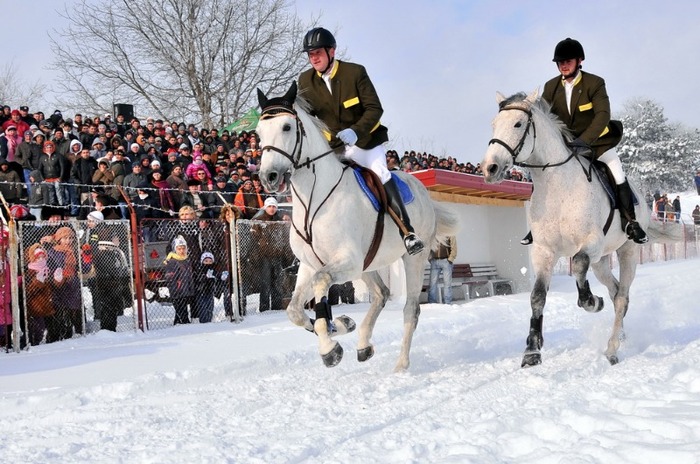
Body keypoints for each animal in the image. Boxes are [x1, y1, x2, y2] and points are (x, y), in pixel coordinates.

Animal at [256, 83, 460, 372]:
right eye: (258, 132)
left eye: (286, 127)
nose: (269, 177)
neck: (313, 199)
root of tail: (423, 191)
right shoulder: (309, 265)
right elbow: (294, 311)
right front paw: (340, 326)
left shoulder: (345, 262)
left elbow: (320, 285)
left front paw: (329, 348)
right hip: (368, 263)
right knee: (380, 294)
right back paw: (363, 343)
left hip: (413, 259)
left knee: (410, 308)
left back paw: (401, 365)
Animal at [482, 89, 680, 366]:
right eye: (493, 124)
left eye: (518, 124)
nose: (489, 168)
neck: (557, 187)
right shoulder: (544, 251)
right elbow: (537, 296)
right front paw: (532, 351)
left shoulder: (590, 244)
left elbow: (576, 264)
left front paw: (592, 302)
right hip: (601, 261)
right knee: (616, 291)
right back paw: (620, 333)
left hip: (627, 251)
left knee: (621, 296)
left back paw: (612, 348)